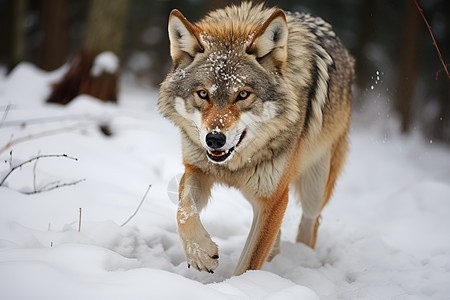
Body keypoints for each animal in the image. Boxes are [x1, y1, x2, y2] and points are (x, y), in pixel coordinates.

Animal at [159, 1, 356, 276]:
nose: (214, 139)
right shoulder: (196, 170)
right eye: (203, 94)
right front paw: (201, 254)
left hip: (314, 189)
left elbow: (250, 263)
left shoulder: (273, 200)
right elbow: (184, 212)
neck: (233, 165)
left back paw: (304, 259)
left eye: (243, 94)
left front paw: (240, 284)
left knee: (311, 221)